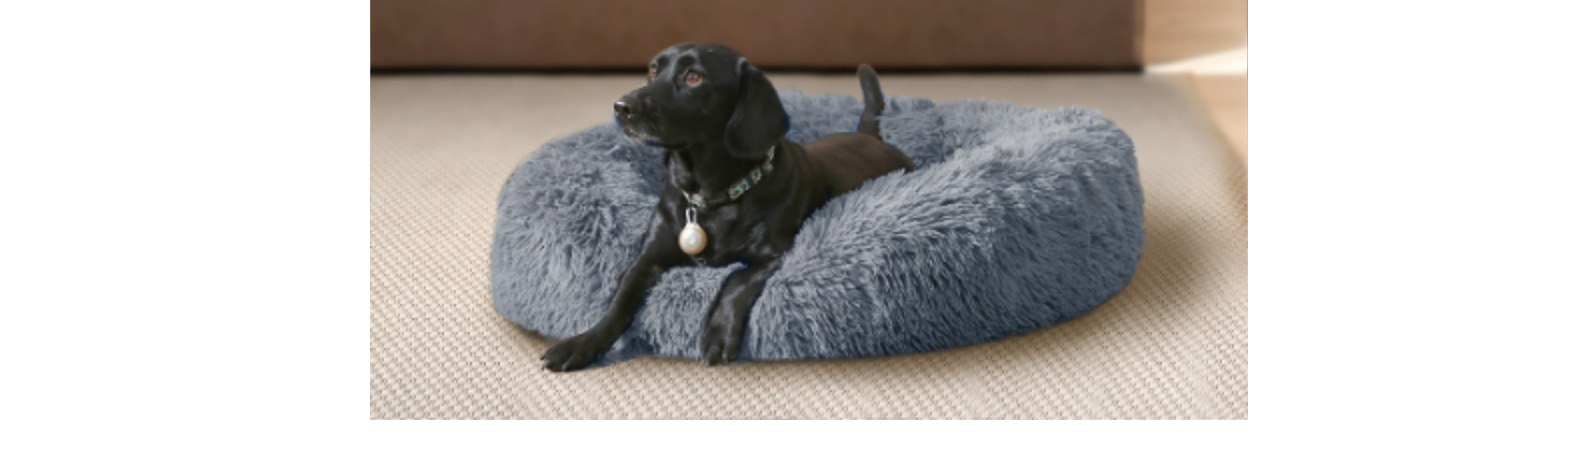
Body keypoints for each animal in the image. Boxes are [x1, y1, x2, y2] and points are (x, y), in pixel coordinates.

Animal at [540, 43, 916, 371]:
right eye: (653, 70)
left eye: (693, 77)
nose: (621, 106)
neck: (709, 198)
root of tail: (870, 136)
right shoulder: (646, 258)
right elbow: (617, 304)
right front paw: (582, 344)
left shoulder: (773, 255)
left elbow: (736, 280)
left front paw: (719, 333)